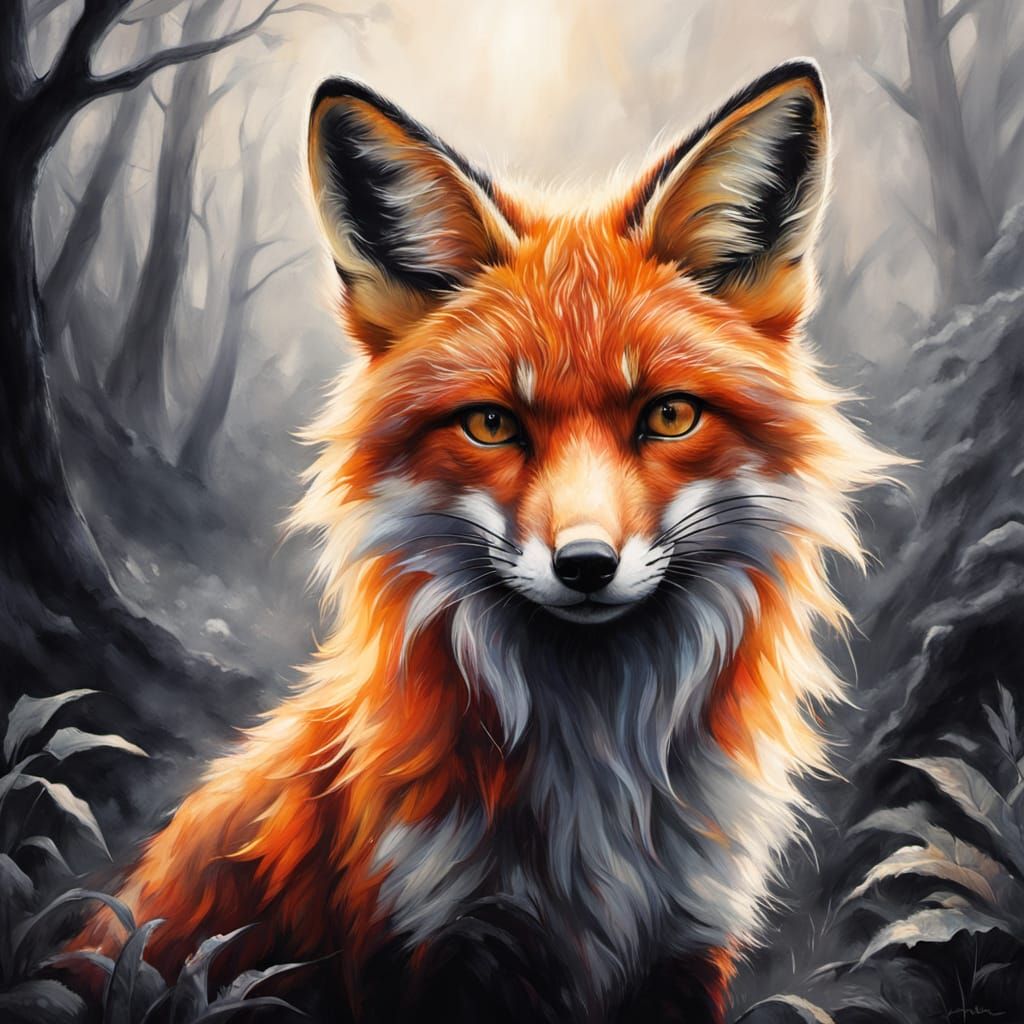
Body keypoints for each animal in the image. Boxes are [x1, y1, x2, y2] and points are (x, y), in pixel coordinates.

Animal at [77, 60, 891, 1022]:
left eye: (668, 415)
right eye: (493, 424)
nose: (586, 566)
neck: (593, 801)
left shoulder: (689, 941)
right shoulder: (429, 942)